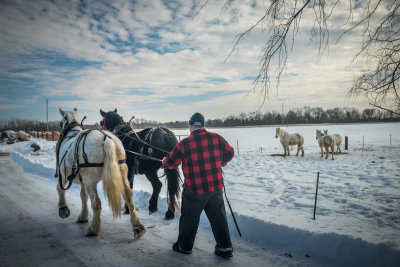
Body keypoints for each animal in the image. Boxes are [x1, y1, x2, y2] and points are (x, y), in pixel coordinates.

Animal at [55, 109, 145, 239]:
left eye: (60, 123)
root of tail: (106, 138)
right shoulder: (82, 180)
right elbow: (83, 196)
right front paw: (83, 216)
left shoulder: (63, 173)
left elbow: (60, 189)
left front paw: (63, 209)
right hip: (122, 173)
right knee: (128, 195)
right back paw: (138, 226)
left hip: (90, 180)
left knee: (96, 203)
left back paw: (94, 229)